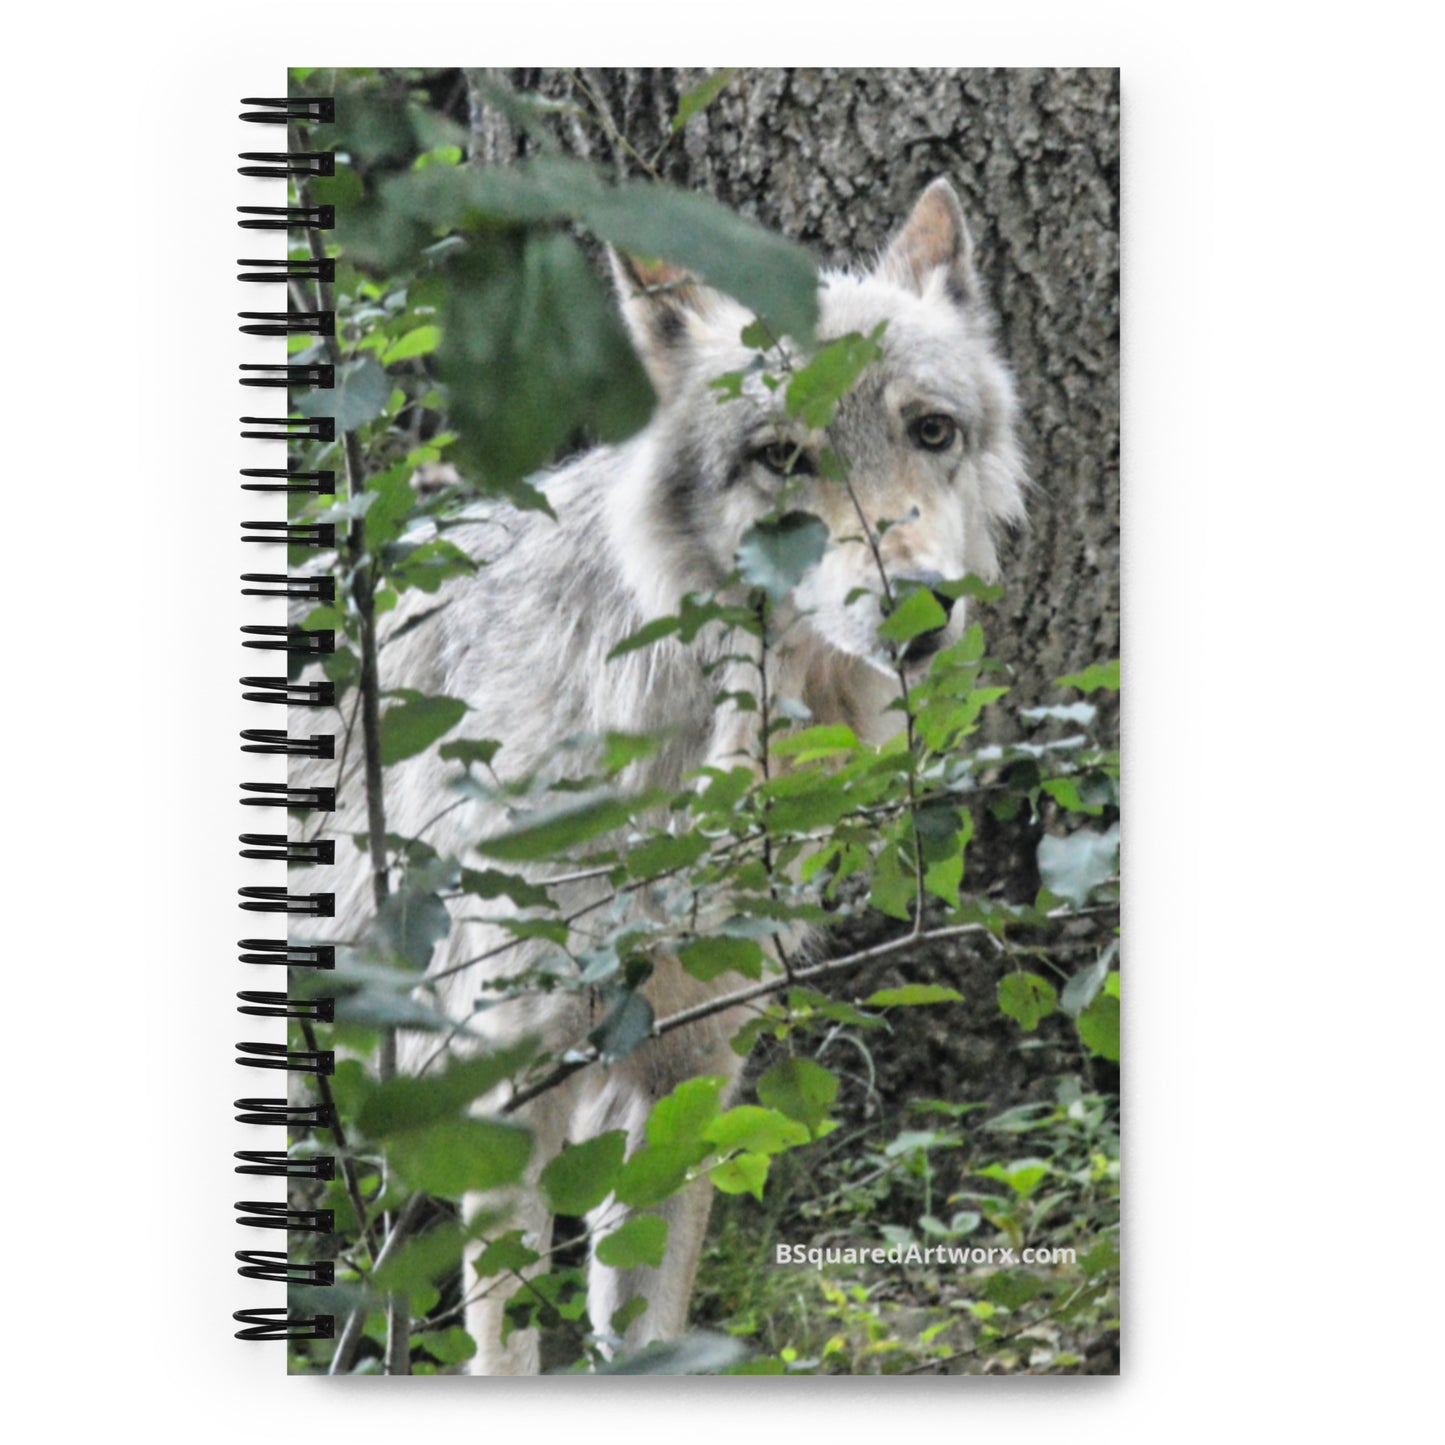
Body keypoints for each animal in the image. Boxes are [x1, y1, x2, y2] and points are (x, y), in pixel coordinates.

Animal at [299, 178, 1025, 1374]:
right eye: (781, 455)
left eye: (931, 431)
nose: (920, 604)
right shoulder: (506, 1089)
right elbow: (506, 1347)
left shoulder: (687, 1074)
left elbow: (644, 1325)